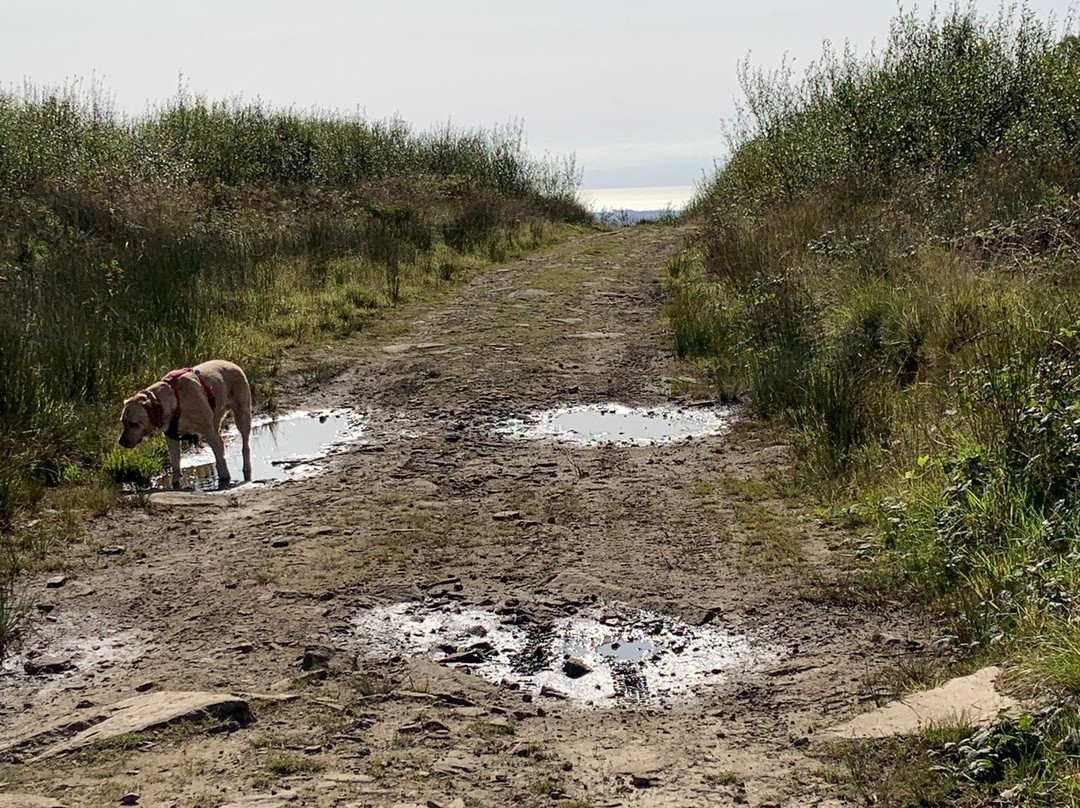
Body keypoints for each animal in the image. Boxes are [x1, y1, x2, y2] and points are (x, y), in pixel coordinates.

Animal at [118, 362, 252, 488]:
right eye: (123, 422)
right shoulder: (171, 437)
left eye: (134, 424)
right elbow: (175, 463)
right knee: (221, 444)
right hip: (216, 421)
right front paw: (175, 483)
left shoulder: (208, 430)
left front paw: (225, 476)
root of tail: (233, 364)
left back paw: (246, 467)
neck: (175, 401)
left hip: (242, 416)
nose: (121, 442)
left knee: (244, 445)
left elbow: (219, 456)